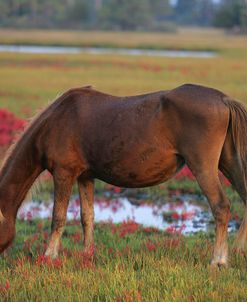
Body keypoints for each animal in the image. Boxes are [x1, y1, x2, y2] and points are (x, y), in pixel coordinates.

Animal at [0, 83, 247, 266]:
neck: (55, 122)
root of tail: (224, 99)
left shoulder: (64, 174)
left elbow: (58, 217)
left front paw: (49, 256)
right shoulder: (85, 176)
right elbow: (87, 217)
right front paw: (87, 255)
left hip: (203, 166)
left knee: (221, 207)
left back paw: (218, 261)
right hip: (229, 162)